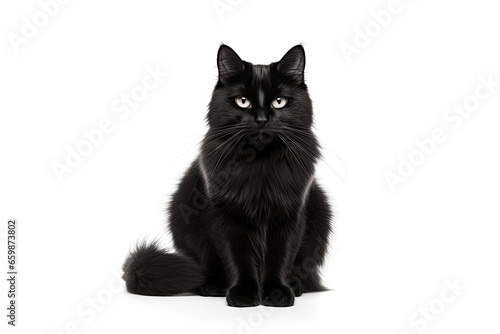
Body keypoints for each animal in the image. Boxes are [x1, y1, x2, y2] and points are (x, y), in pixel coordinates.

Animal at [122, 44, 332, 308]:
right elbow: (237, 258)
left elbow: (281, 257)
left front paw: (277, 293)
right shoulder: (225, 215)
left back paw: (296, 286)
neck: (259, 165)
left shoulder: (290, 214)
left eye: (279, 102)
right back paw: (212, 287)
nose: (261, 120)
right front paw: (243, 293)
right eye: (243, 101)